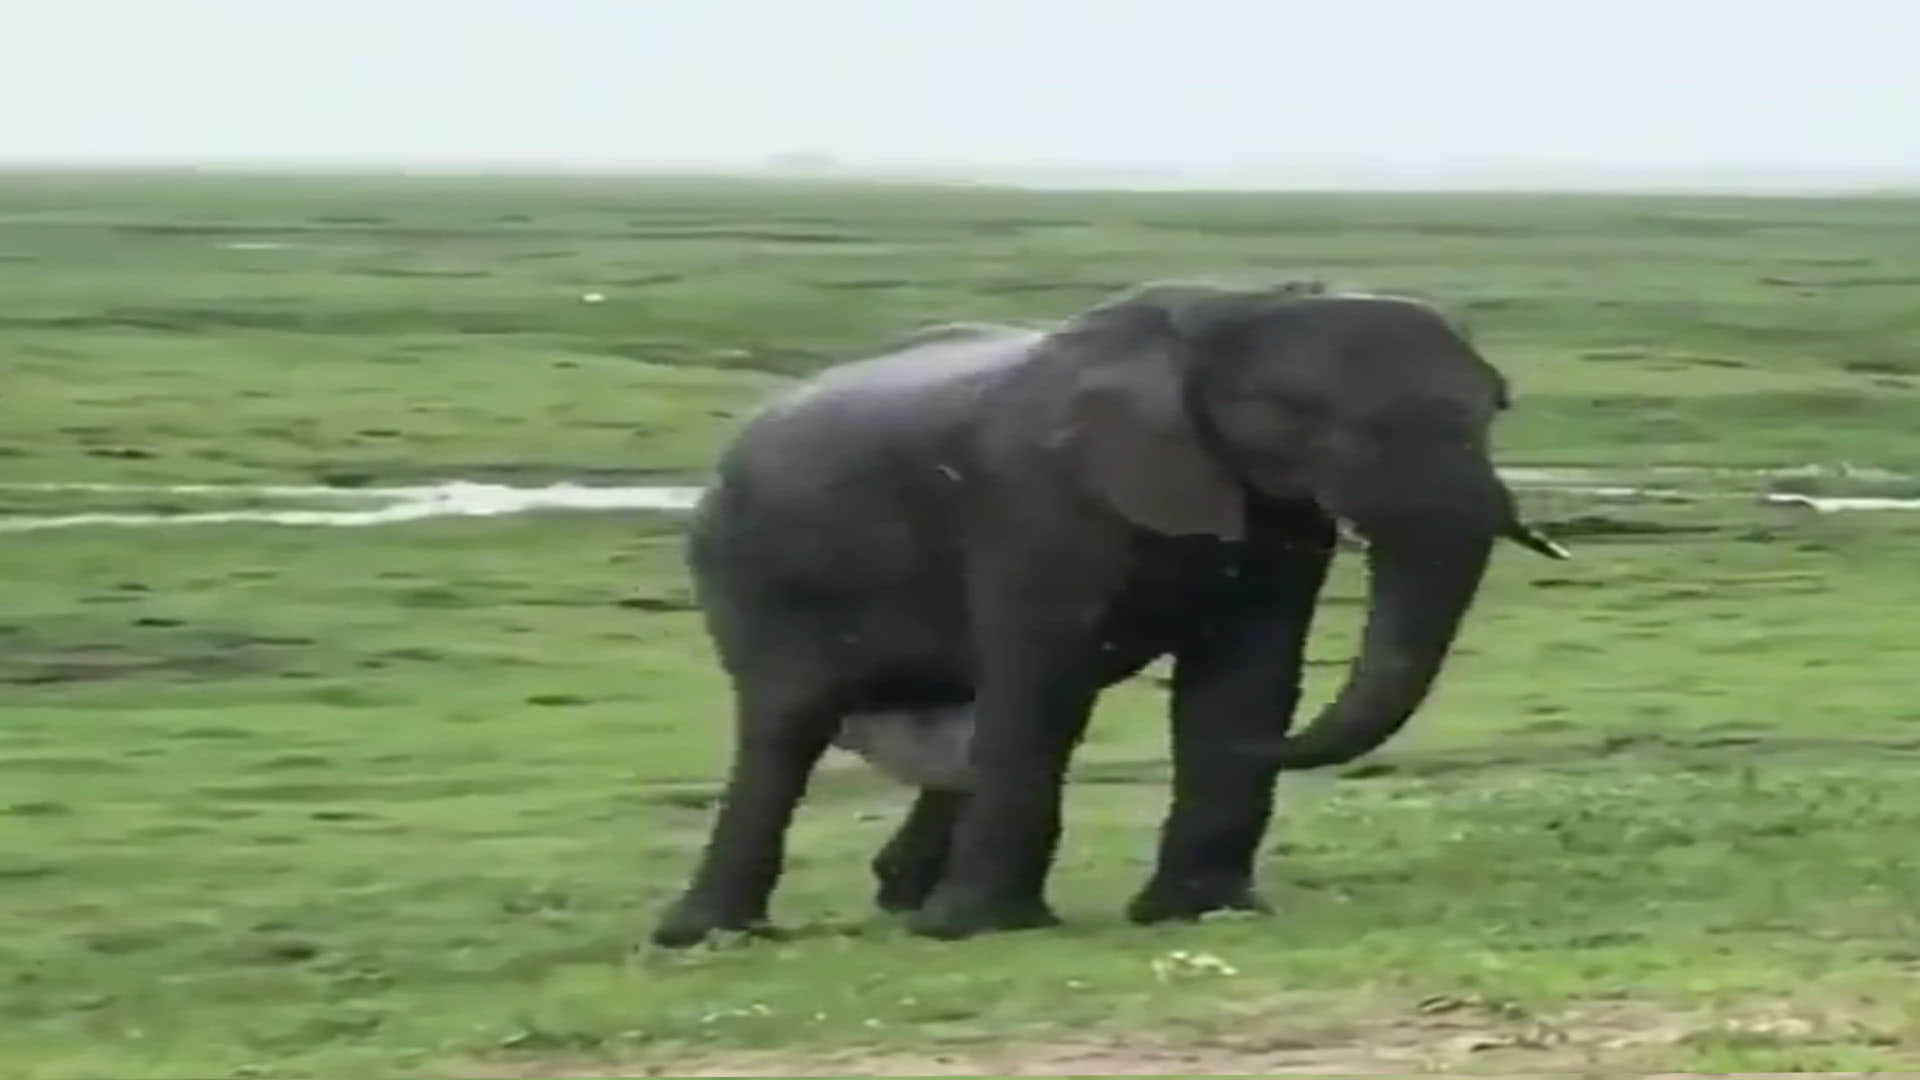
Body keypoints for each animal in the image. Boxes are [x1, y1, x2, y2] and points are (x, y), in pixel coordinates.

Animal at [651, 280, 1567, 947]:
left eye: (1496, 407)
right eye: (1317, 421)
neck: (1237, 309)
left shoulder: (1271, 511)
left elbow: (1247, 671)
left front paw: (1203, 913)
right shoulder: (1035, 498)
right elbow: (1045, 684)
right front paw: (981, 932)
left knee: (952, 732)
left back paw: (898, 899)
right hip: (755, 576)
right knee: (788, 728)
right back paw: (714, 937)